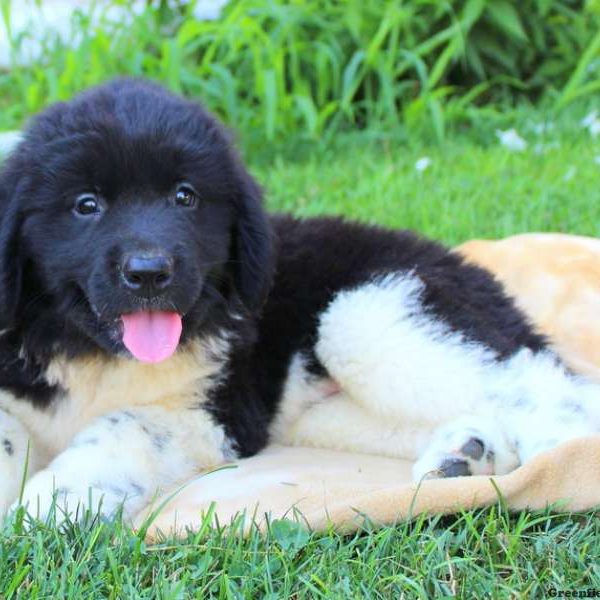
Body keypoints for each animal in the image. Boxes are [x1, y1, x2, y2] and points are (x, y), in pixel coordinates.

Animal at [0, 78, 596, 520]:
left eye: (185, 197)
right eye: (86, 205)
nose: (149, 273)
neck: (96, 355)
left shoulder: (223, 406)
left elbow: (127, 425)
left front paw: (60, 500)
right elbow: (11, 433)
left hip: (371, 315)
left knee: (552, 389)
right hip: (328, 415)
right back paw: (466, 455)